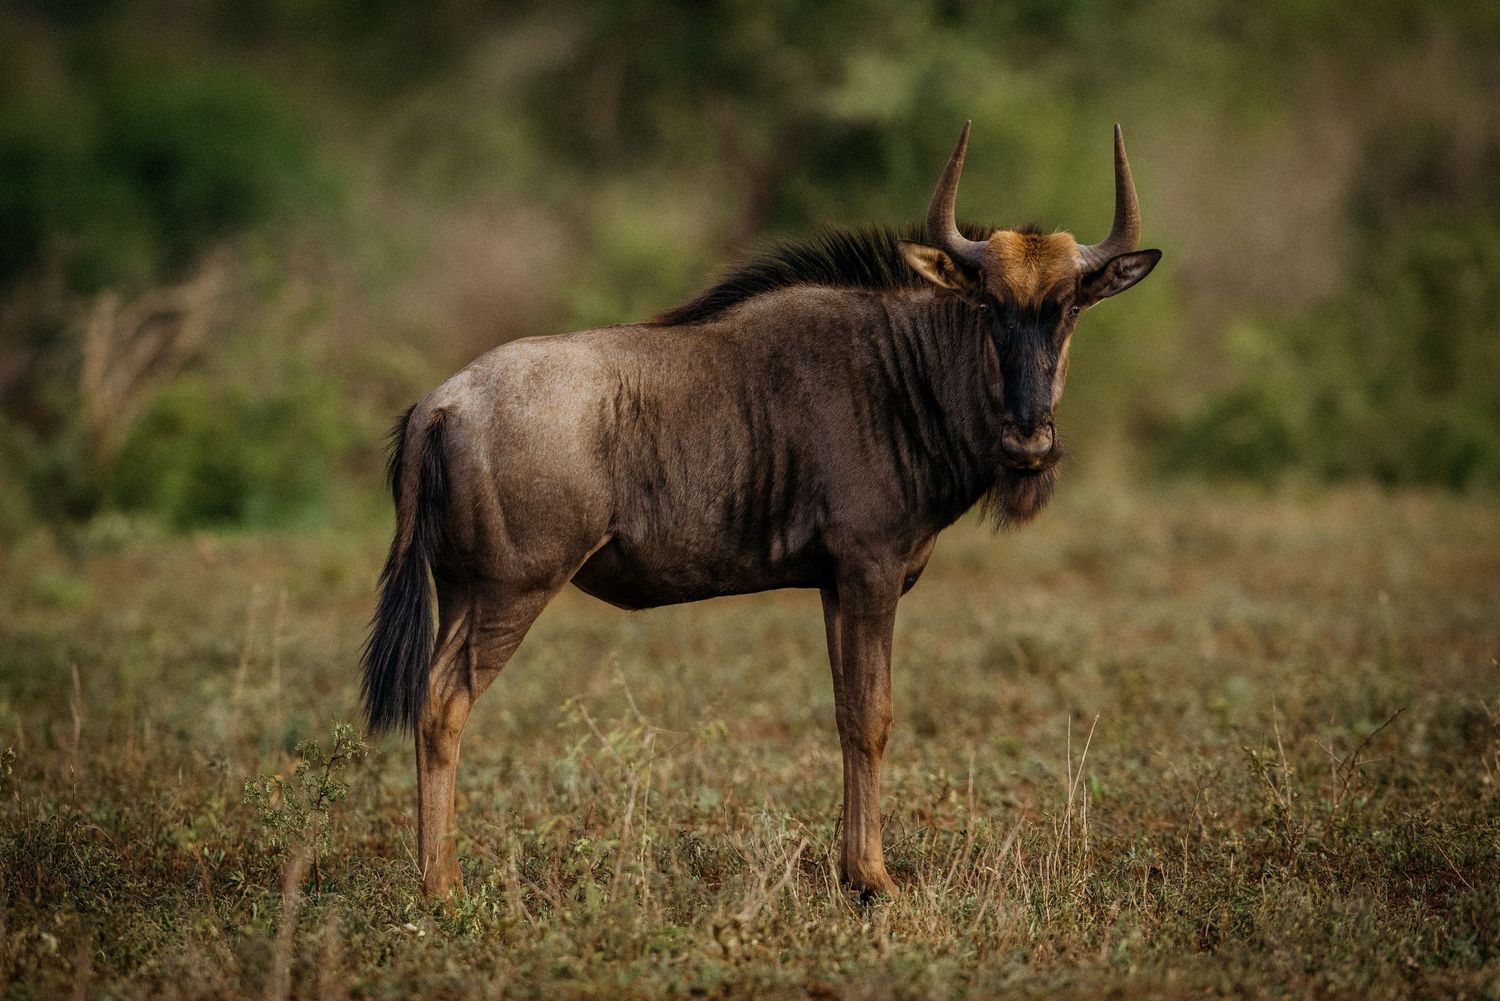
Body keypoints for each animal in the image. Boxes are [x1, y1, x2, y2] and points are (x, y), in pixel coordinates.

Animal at [363, 122, 1161, 897]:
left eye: (1069, 306)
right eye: (989, 304)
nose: (1029, 441)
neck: (904, 373)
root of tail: (442, 403)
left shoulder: (836, 584)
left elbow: (844, 714)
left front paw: (851, 872)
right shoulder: (870, 570)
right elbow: (874, 716)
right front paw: (876, 879)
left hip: (462, 590)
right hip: (511, 591)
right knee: (441, 704)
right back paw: (441, 886)